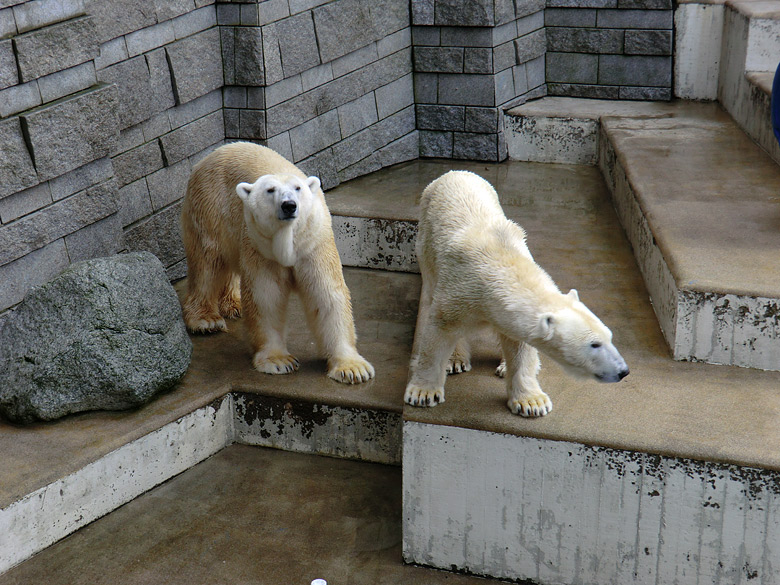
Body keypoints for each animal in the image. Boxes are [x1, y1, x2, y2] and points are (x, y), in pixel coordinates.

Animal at [184, 141, 378, 384]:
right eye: (270, 190)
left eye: (298, 188)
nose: (289, 205)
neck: (288, 243)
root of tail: (211, 155)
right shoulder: (260, 247)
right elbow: (267, 296)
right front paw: (278, 361)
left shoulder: (314, 245)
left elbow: (326, 294)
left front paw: (353, 369)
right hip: (210, 207)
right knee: (207, 263)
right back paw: (205, 320)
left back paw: (234, 304)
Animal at [402, 169, 628, 416]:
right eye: (594, 344)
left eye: (610, 337)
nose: (623, 371)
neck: (500, 261)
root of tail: (456, 172)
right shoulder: (458, 290)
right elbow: (438, 332)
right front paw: (423, 392)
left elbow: (520, 345)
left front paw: (532, 402)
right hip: (426, 246)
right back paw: (455, 360)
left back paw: (503, 365)